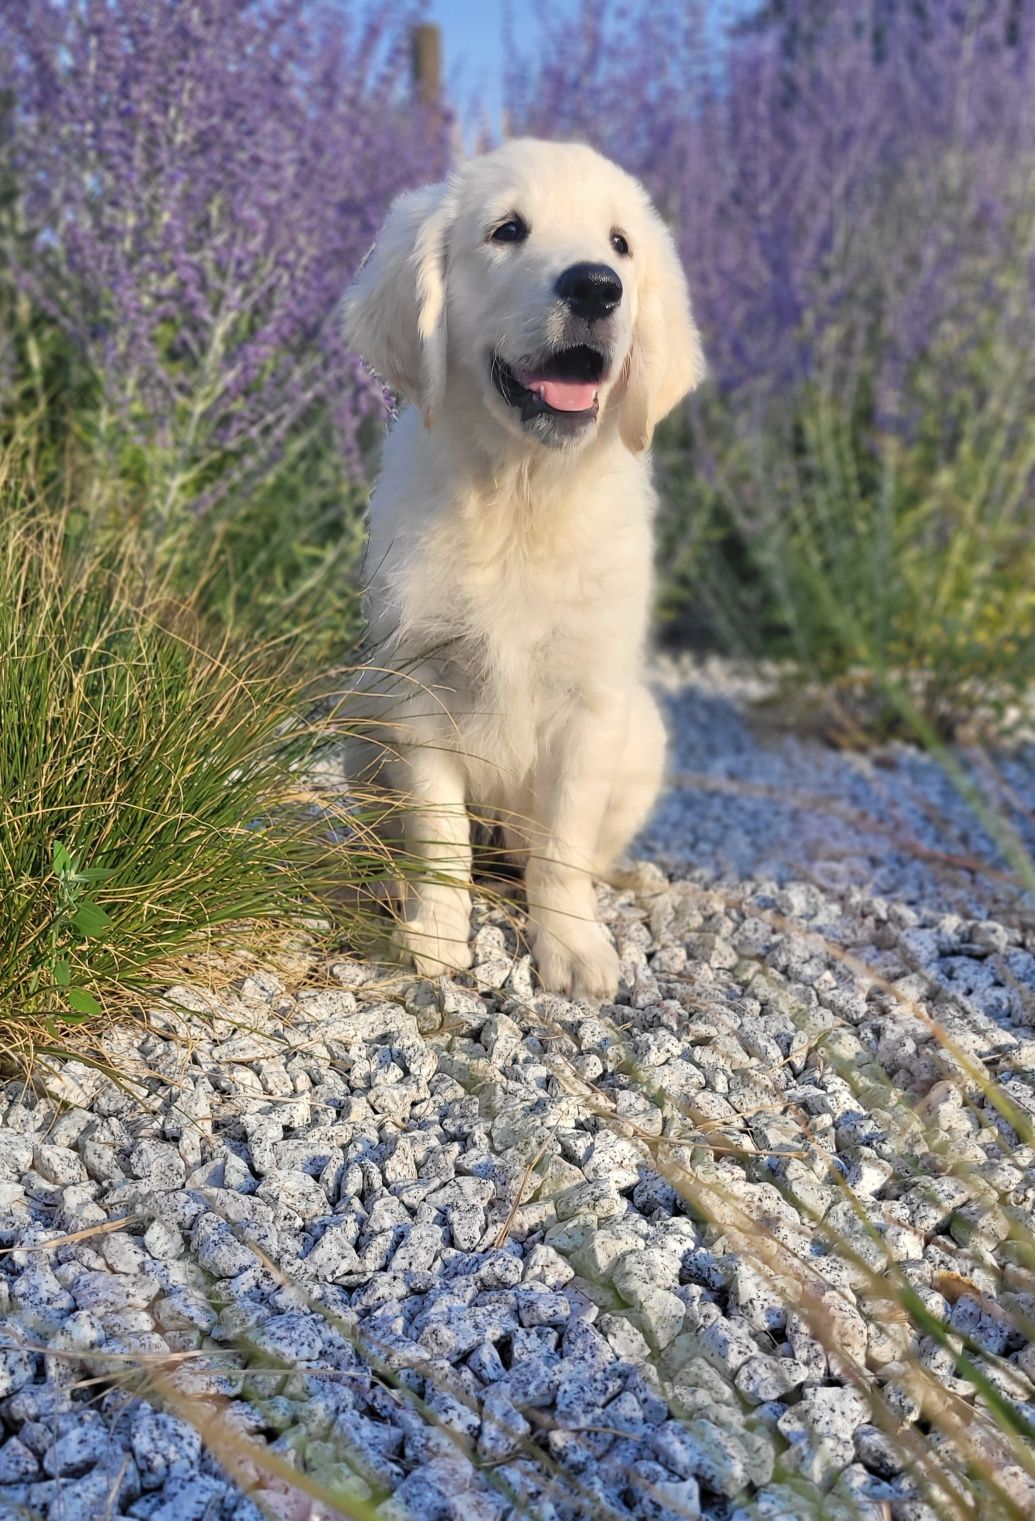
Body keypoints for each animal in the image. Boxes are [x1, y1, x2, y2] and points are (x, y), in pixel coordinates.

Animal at [343, 136, 706, 1003]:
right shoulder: (417, 687)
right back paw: (384, 880)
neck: (520, 495)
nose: (595, 285)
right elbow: (438, 832)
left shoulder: (591, 704)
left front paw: (571, 945)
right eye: (506, 230)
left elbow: (563, 842)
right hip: (358, 713)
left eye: (620, 244)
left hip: (643, 734)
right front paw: (434, 934)